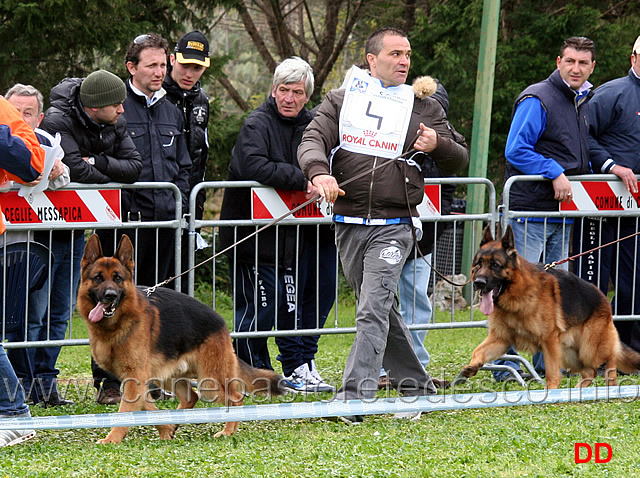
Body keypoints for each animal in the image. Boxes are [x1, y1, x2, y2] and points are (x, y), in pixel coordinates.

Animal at [77, 235, 282, 444]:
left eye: (117, 278)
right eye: (98, 278)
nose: (110, 296)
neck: (119, 323)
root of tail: (221, 322)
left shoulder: (136, 378)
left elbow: (126, 411)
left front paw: (112, 439)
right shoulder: (137, 380)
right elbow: (148, 408)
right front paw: (166, 430)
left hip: (209, 382)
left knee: (235, 397)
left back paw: (227, 431)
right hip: (169, 377)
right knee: (192, 397)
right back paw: (177, 423)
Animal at [456, 225, 640, 388]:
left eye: (495, 264)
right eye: (478, 264)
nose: (478, 283)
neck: (518, 294)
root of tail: (604, 298)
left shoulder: (549, 340)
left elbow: (552, 374)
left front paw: (549, 392)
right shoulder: (501, 339)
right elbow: (478, 351)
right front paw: (472, 367)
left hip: (590, 349)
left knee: (610, 361)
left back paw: (610, 386)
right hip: (569, 353)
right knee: (590, 372)